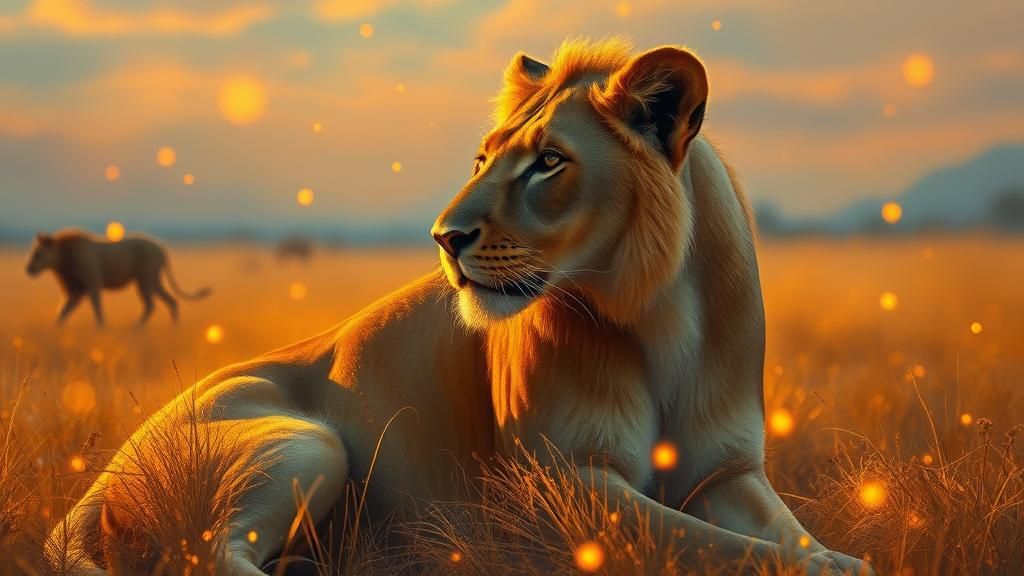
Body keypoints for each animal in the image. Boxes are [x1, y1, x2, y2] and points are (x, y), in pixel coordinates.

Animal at [25, 229, 210, 327]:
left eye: (38, 254)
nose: (28, 269)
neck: (63, 258)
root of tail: (161, 248)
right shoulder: (75, 292)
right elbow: (63, 312)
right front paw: (56, 331)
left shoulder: (93, 285)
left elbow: (98, 310)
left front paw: (102, 330)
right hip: (153, 279)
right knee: (171, 301)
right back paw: (172, 329)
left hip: (145, 278)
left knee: (151, 305)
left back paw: (136, 330)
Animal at [48, 40, 872, 575]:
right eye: (482, 159)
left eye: (549, 162)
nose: (444, 237)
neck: (660, 310)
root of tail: (87, 494)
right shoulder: (556, 483)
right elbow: (710, 544)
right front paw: (835, 567)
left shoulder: (726, 472)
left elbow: (783, 533)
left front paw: (833, 553)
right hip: (307, 444)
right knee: (206, 556)